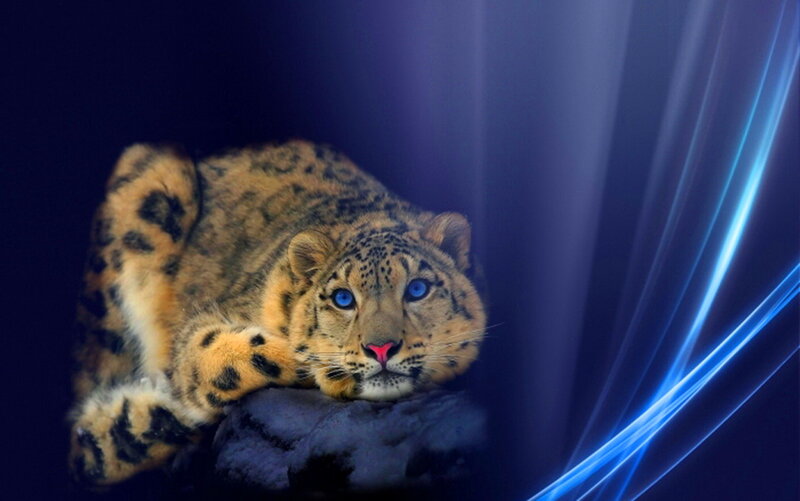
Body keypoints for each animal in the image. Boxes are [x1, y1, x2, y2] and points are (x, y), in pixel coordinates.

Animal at [68, 140, 487, 485]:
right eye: (343, 298)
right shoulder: (203, 323)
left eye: (417, 289)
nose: (381, 348)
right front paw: (308, 361)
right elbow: (213, 356)